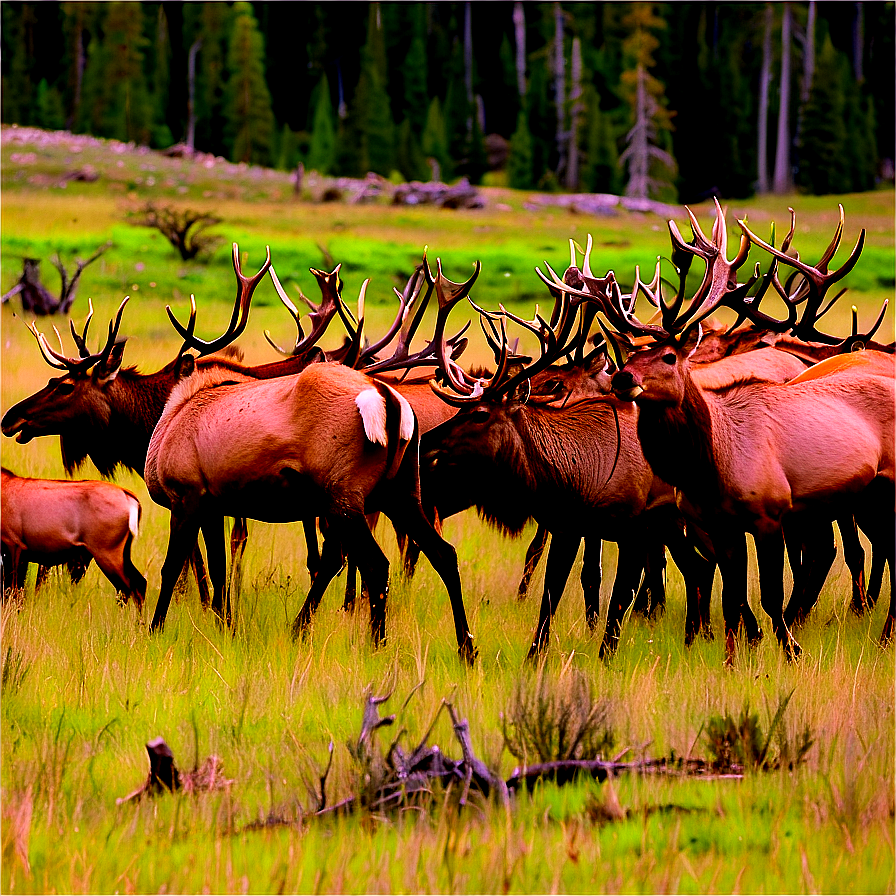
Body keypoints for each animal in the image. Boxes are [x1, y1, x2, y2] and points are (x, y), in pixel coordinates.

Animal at [1, 466, 145, 604]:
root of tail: (126, 494)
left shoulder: (13, 545)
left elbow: (11, 590)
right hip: (122, 553)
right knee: (138, 584)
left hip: (107, 554)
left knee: (129, 588)